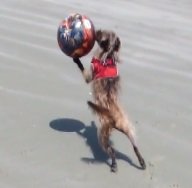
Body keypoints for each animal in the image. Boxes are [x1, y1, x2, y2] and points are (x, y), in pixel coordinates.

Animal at [73, 29, 146, 172]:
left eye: (100, 33)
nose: (95, 30)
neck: (109, 55)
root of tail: (114, 119)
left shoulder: (90, 75)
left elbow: (82, 69)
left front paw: (77, 59)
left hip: (102, 134)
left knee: (111, 151)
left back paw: (114, 163)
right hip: (127, 128)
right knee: (135, 146)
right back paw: (141, 161)